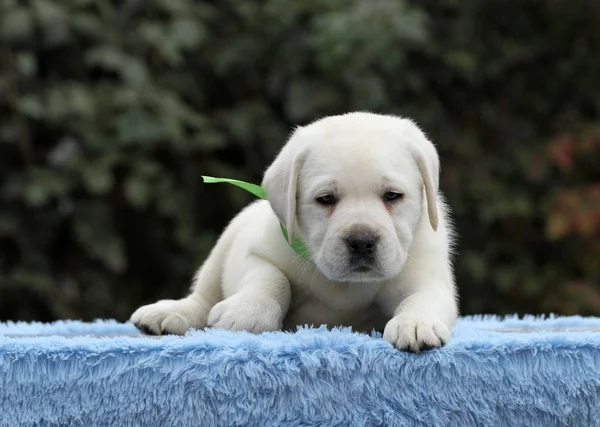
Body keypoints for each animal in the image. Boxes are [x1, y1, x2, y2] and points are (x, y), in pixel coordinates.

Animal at [132, 112, 460, 352]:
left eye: (393, 195)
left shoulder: (427, 275)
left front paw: (416, 323)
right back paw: (168, 314)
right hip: (225, 243)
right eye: (325, 199)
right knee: (202, 297)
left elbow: (423, 297)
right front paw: (248, 311)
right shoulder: (258, 253)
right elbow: (272, 280)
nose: (362, 241)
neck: (345, 286)